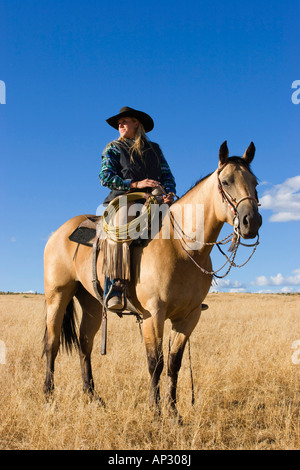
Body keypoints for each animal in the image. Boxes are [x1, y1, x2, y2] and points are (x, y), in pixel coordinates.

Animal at [42, 141, 262, 416]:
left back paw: (93, 396)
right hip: (57, 295)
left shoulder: (189, 316)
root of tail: (59, 232)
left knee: (85, 344)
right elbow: (155, 362)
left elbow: (174, 363)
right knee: (52, 343)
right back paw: (49, 396)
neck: (182, 248)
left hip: (91, 301)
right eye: (226, 181)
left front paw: (174, 413)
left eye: (255, 182)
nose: (251, 221)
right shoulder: (153, 314)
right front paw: (155, 411)